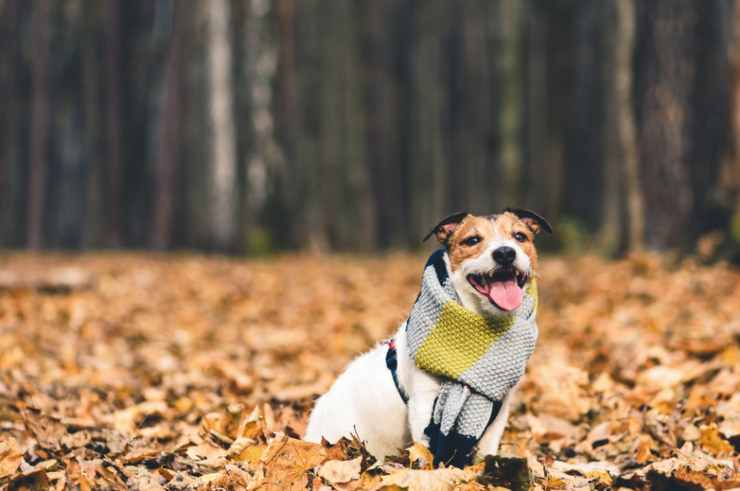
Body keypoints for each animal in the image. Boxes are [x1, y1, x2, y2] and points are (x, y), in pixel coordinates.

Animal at [300, 209, 548, 468]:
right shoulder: (424, 406)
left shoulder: (498, 413)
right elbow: (429, 451)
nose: (505, 253)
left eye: (520, 236)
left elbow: (485, 452)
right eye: (472, 240)